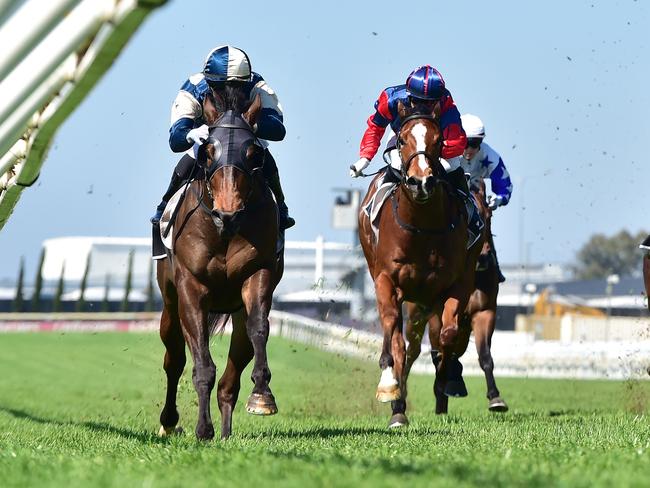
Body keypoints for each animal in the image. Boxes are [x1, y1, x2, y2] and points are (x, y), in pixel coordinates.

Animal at [156, 86, 282, 440]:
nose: (228, 214)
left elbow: (259, 328)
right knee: (174, 359)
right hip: (170, 304)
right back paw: (169, 421)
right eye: (208, 151)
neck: (223, 231)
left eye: (253, 154)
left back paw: (226, 431)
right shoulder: (191, 288)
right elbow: (201, 365)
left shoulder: (258, 274)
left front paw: (262, 396)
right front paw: (202, 428)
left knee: (231, 375)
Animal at [356, 102, 484, 428]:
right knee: (402, 343)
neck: (422, 228)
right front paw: (390, 389)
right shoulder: (386, 280)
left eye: (439, 141)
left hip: (425, 301)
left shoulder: (456, 285)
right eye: (402, 140)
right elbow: (393, 337)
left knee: (426, 342)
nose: (421, 181)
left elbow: (448, 335)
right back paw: (397, 402)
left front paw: (449, 380)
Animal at [388, 182, 508, 428]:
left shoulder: (484, 312)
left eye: (489, 216)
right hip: (415, 318)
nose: (483, 258)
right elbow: (437, 352)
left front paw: (495, 397)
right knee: (412, 353)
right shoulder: (436, 314)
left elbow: (484, 355)